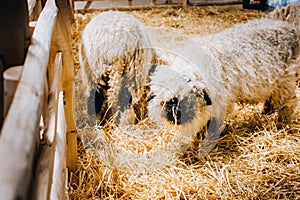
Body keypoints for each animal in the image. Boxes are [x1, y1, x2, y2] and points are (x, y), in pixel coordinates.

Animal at [148, 16, 300, 150]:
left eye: (186, 97)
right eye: (168, 102)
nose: (177, 119)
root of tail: (289, 28)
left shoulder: (219, 104)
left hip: (285, 82)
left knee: (289, 103)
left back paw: (283, 124)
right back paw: (266, 112)